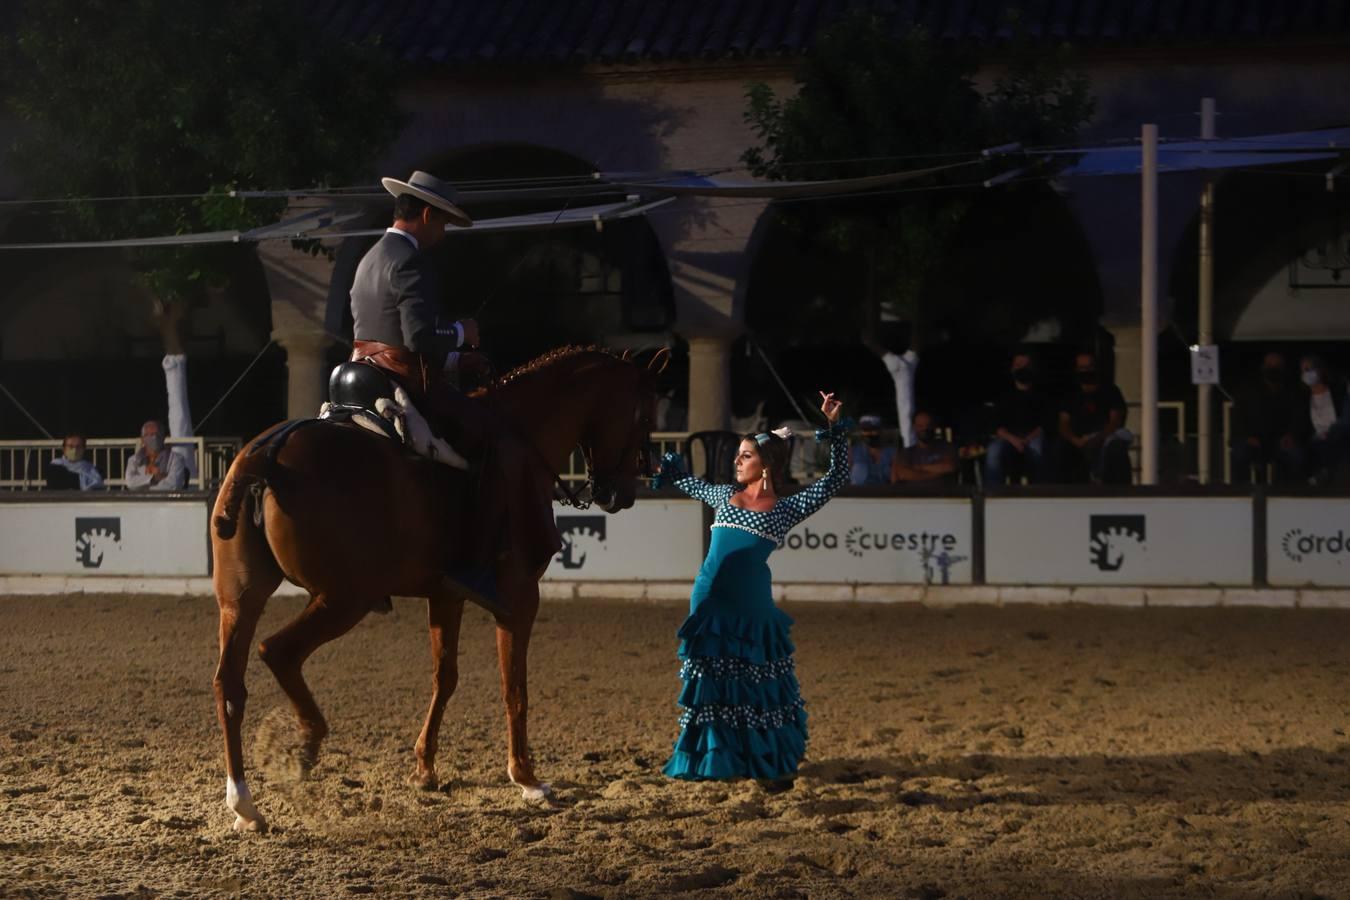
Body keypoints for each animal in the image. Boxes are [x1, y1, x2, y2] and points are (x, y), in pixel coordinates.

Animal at [203, 345, 658, 831]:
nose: (623, 493)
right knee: (278, 653)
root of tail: (269, 452)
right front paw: (527, 778)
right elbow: (514, 688)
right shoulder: (519, 600)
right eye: (643, 415)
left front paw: (425, 769)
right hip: (345, 599)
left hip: (241, 601)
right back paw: (306, 742)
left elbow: (445, 676)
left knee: (229, 684)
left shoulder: (446, 595)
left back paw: (244, 802)